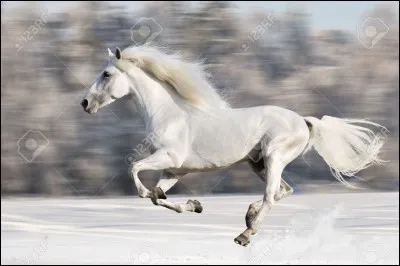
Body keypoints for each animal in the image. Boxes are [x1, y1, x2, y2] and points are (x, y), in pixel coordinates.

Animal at [81, 45, 388, 245]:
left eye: (106, 74)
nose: (84, 103)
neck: (168, 113)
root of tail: (303, 121)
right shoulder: (175, 170)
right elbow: (158, 196)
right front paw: (194, 205)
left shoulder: (168, 157)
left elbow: (136, 173)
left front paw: (167, 197)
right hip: (258, 163)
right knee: (283, 191)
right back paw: (249, 217)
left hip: (274, 158)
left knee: (272, 195)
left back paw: (245, 234)